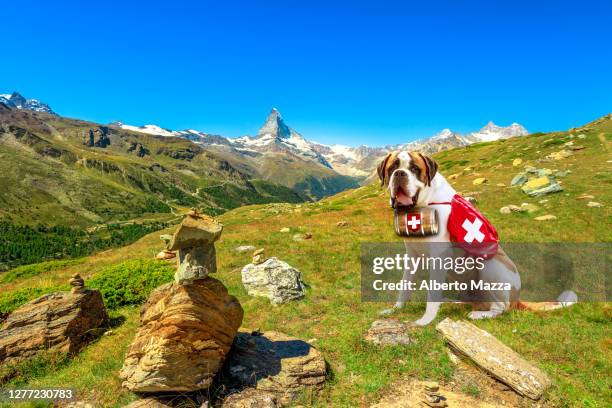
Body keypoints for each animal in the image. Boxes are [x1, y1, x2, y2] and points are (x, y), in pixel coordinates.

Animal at [376, 150, 576, 326]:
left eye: (415, 169)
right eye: (392, 168)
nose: (400, 173)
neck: (424, 203)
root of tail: (517, 298)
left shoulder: (439, 257)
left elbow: (431, 294)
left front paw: (425, 320)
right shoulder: (412, 256)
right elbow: (404, 286)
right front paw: (395, 309)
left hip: (490, 266)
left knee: (501, 308)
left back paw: (479, 314)